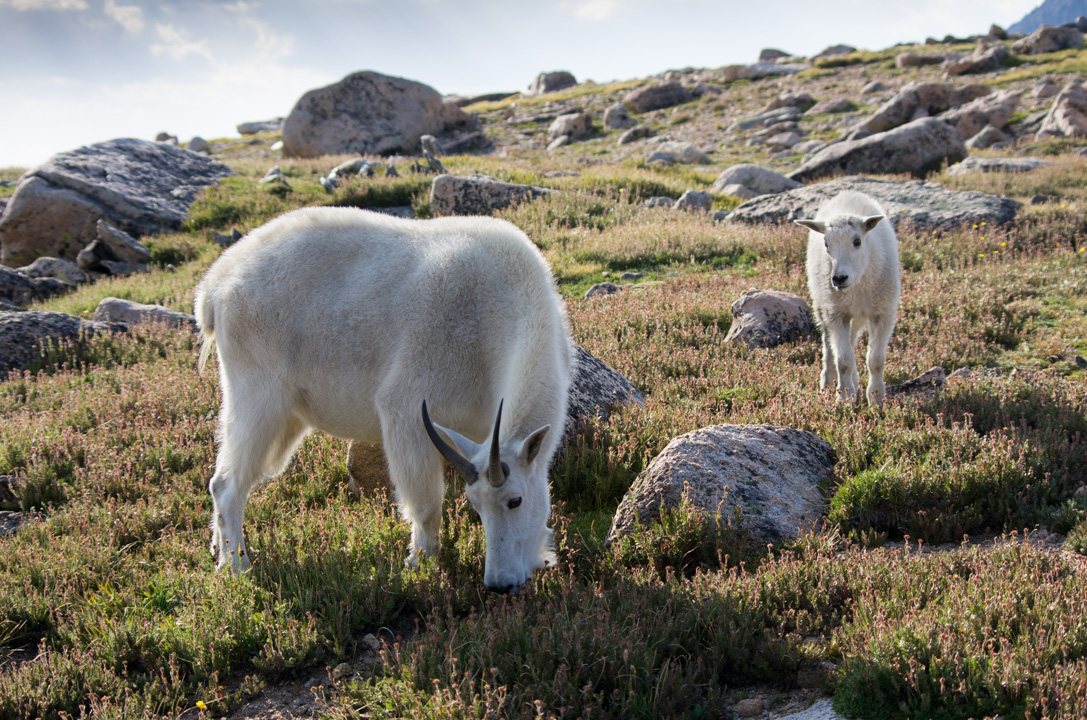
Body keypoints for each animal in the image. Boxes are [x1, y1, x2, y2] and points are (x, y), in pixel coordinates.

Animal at [194, 207, 572, 593]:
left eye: (515, 501)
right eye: (478, 505)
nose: (500, 584)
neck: (495, 307)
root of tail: (214, 288)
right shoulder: (407, 410)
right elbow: (426, 504)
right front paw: (419, 566)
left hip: (285, 415)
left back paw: (218, 548)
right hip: (258, 395)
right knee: (226, 484)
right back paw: (236, 566)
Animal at [796, 191, 901, 405]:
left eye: (857, 241)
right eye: (826, 243)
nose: (839, 278)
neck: (857, 285)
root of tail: (848, 194)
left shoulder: (883, 313)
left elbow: (876, 360)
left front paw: (876, 399)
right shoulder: (835, 313)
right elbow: (843, 360)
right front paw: (845, 397)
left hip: (856, 315)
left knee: (851, 341)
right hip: (823, 307)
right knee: (831, 348)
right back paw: (828, 385)